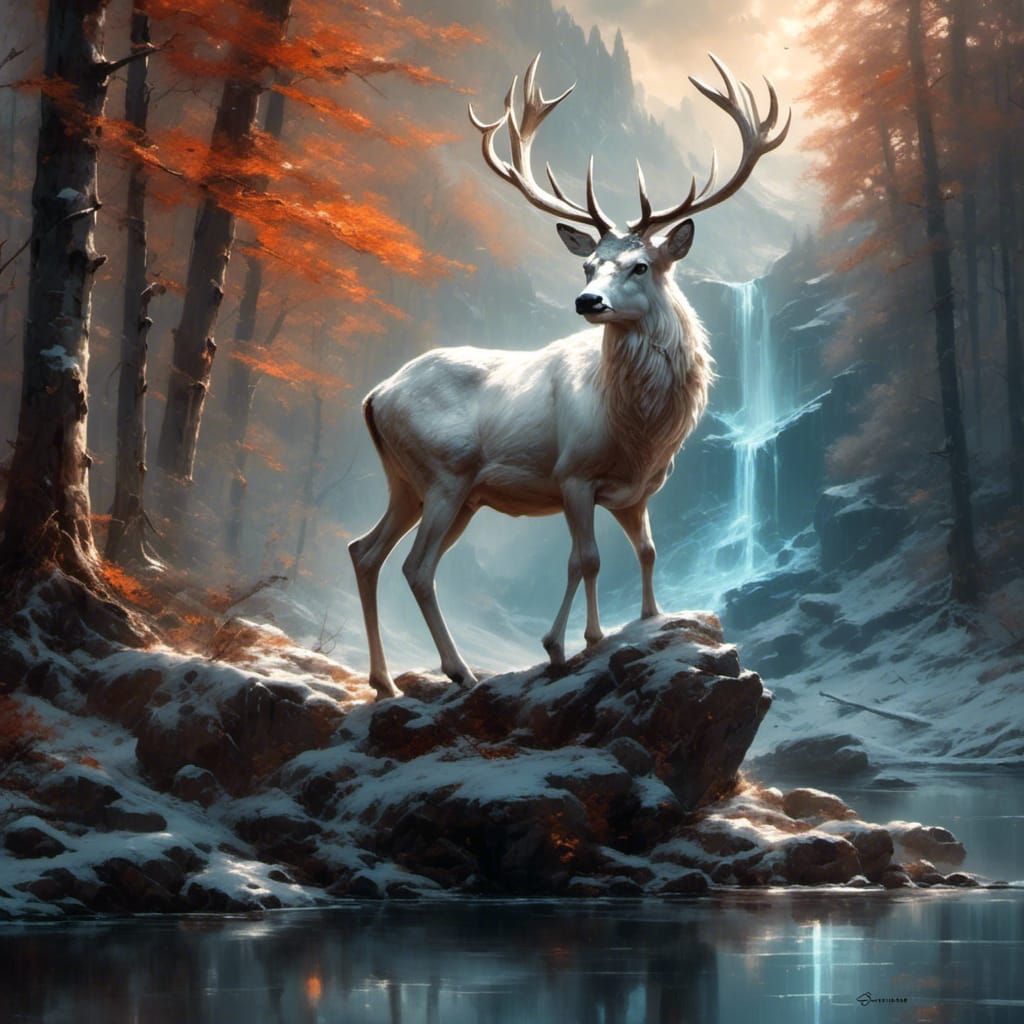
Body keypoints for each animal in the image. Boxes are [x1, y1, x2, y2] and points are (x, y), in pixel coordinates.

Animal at [349, 53, 790, 698]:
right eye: (588, 265)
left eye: (640, 264)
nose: (588, 301)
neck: (636, 428)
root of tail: (374, 395)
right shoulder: (573, 473)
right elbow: (586, 560)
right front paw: (565, 644)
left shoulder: (637, 491)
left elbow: (647, 552)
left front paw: (642, 620)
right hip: (445, 474)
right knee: (417, 566)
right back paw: (458, 670)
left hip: (411, 482)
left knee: (365, 550)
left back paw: (384, 681)